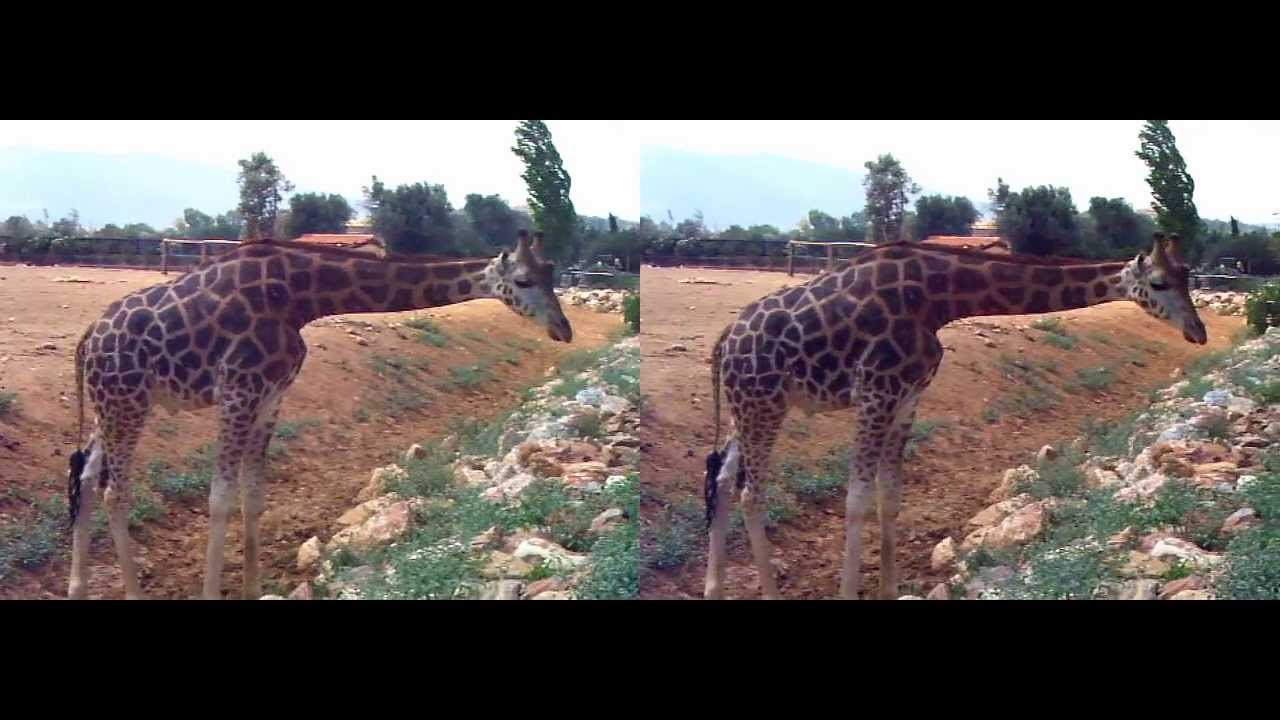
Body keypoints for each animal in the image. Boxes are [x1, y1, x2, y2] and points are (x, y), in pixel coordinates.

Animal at [66, 230, 571, 600]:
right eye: (523, 280)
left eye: (551, 274)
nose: (563, 330)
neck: (300, 299)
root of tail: (88, 336)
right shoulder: (238, 389)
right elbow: (220, 498)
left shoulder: (271, 395)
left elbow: (253, 495)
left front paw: (252, 589)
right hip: (126, 400)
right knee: (114, 492)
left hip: (113, 403)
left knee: (86, 475)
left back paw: (77, 588)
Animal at [703, 233, 1207, 600]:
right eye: (1159, 283)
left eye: (1188, 277)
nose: (1198, 332)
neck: (938, 299)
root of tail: (725, 338)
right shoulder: (876, 392)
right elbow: (857, 499)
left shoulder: (908, 396)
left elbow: (890, 495)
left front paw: (889, 590)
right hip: (762, 401)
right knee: (751, 493)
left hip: (750, 404)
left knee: (723, 478)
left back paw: (713, 589)